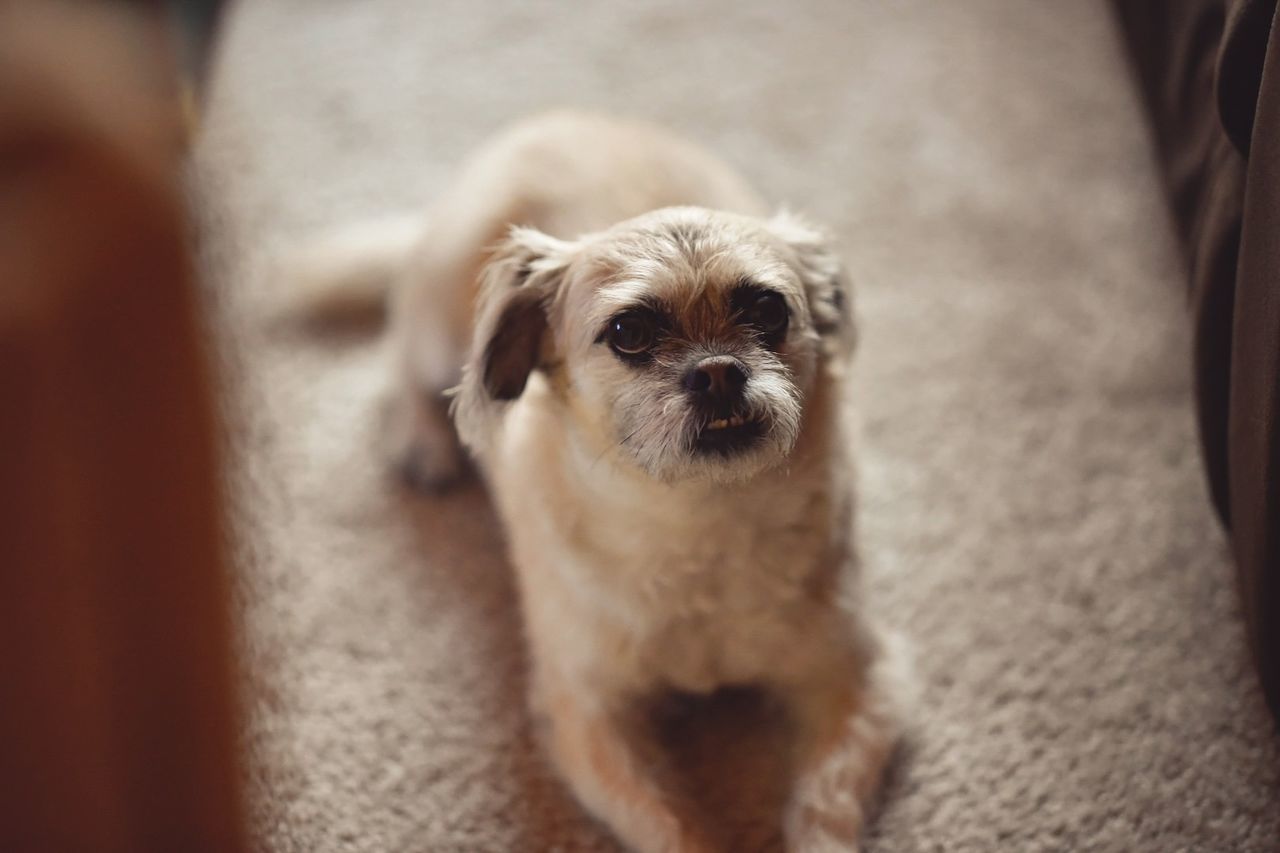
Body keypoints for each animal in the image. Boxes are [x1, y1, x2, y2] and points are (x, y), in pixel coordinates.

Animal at [291, 112, 911, 850]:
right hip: (439, 314)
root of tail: (561, 121)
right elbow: (667, 825)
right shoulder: (590, 717)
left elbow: (825, 805)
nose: (718, 372)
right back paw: (423, 442)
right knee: (402, 355)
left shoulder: (854, 680)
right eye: (630, 331)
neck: (697, 522)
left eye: (768, 311)